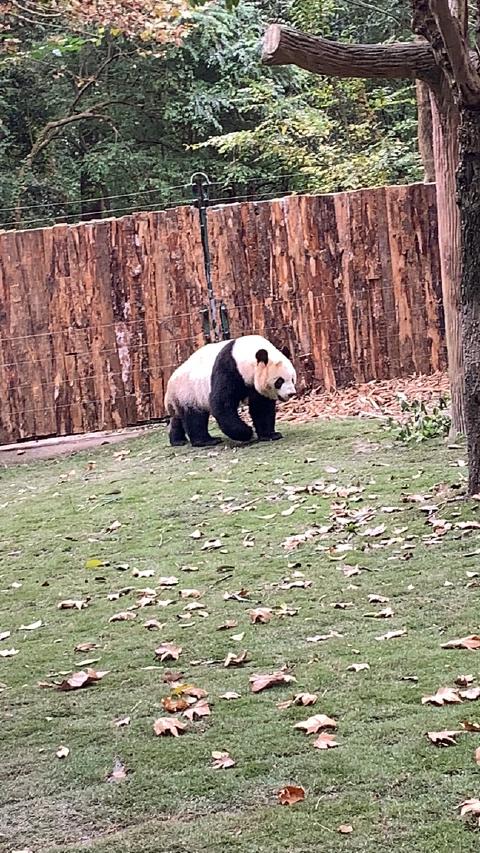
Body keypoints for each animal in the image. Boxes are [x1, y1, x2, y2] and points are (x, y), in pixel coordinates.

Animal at [164, 334, 297, 447]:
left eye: (292, 379)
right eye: (279, 381)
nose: (291, 393)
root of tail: (170, 384)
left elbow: (261, 407)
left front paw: (270, 435)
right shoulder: (228, 368)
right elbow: (221, 404)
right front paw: (247, 432)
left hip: (180, 396)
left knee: (178, 418)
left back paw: (178, 440)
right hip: (188, 391)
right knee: (194, 417)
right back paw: (206, 441)